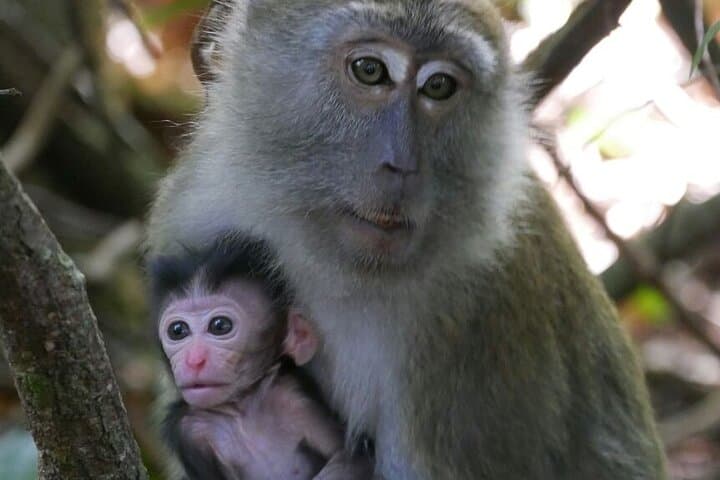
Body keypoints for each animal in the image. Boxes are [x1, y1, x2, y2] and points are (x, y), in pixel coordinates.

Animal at [151, 237, 372, 479]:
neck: (244, 411)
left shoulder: (293, 396)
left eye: (220, 326)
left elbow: (354, 458)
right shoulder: (191, 430)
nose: (194, 360)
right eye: (178, 330)